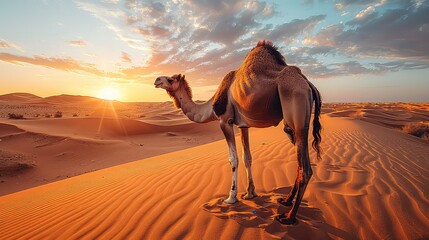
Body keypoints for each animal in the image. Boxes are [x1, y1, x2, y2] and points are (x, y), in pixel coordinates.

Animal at [154, 39, 320, 225]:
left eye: (170, 79)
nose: (156, 80)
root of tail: (308, 84)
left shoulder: (225, 121)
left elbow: (233, 159)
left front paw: (231, 197)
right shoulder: (243, 126)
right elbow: (247, 157)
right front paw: (250, 193)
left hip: (295, 108)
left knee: (305, 168)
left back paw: (289, 217)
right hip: (296, 124)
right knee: (300, 164)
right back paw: (285, 200)